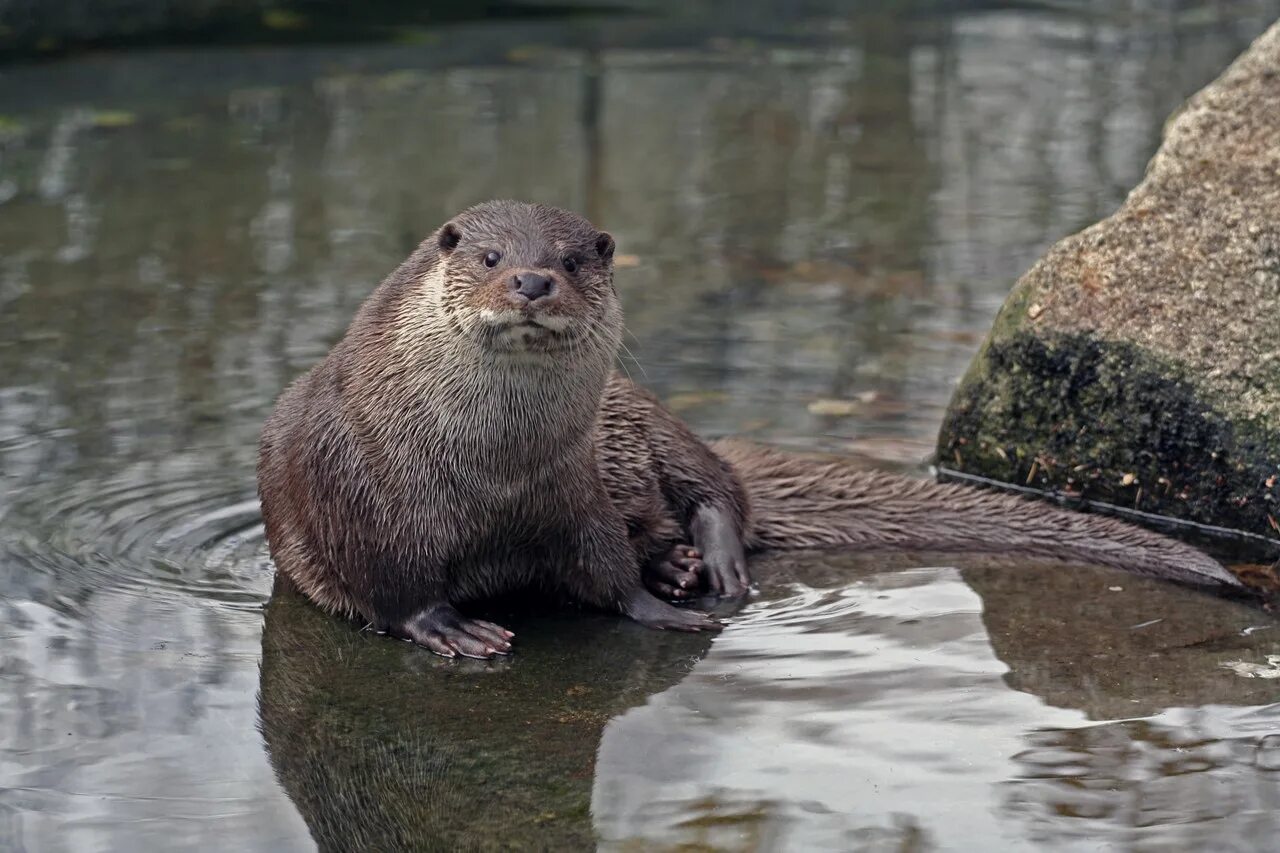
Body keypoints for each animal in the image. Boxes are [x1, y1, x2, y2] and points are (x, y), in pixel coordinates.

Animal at [254, 199, 1244, 655]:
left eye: (574, 258)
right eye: (493, 256)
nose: (533, 281)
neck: (487, 469)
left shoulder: (572, 492)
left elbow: (604, 571)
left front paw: (658, 603)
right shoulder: (364, 496)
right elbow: (394, 588)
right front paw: (453, 628)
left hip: (645, 417)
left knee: (715, 485)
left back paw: (706, 562)